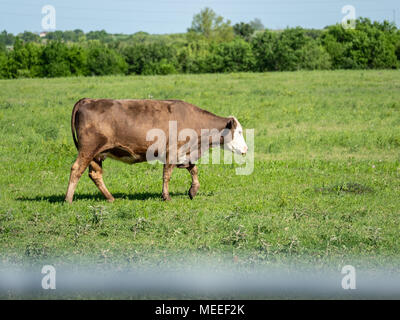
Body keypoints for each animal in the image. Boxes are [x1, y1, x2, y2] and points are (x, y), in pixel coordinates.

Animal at [65, 97, 247, 202]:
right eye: (238, 132)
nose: (245, 149)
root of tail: (89, 100)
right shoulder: (171, 152)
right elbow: (167, 175)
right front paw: (166, 196)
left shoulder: (184, 154)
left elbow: (193, 170)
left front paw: (193, 190)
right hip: (88, 149)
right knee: (76, 169)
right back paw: (68, 199)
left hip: (97, 155)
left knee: (95, 174)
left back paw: (110, 198)